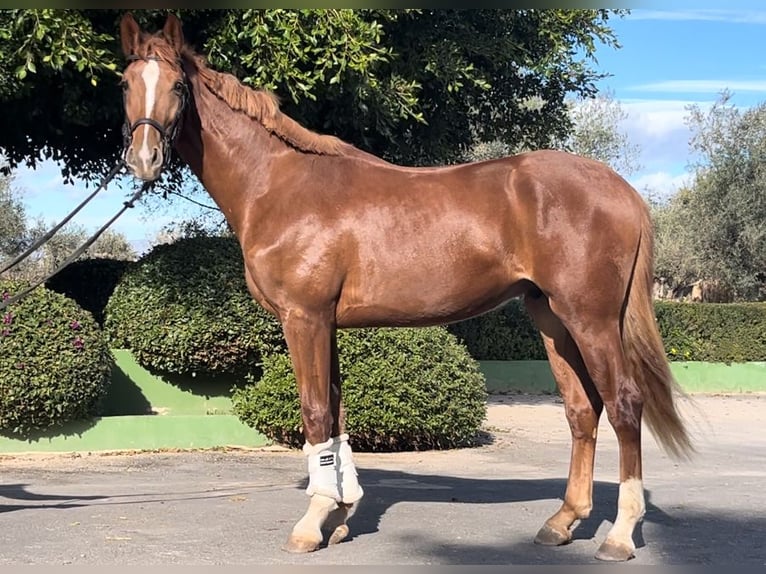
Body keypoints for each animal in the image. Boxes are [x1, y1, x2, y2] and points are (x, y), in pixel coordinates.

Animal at [117, 13, 692, 564]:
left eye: (176, 85)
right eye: (125, 82)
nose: (143, 158)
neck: (279, 184)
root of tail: (620, 189)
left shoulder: (304, 317)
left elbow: (315, 412)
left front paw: (311, 522)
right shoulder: (327, 324)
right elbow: (336, 413)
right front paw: (340, 515)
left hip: (591, 318)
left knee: (623, 404)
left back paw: (619, 535)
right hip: (552, 319)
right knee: (581, 410)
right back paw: (562, 522)